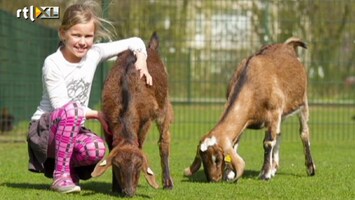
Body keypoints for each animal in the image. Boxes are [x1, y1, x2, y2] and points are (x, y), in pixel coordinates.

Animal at [91, 32, 175, 197]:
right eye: (117, 166)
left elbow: (140, 144)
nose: (129, 192)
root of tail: (151, 46)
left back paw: (168, 183)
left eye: (138, 166)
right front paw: (115, 186)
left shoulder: (146, 120)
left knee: (164, 140)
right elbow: (111, 147)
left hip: (164, 106)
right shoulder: (107, 122)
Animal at [185, 37, 316, 183]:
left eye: (217, 159)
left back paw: (310, 168)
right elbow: (237, 143)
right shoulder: (250, 121)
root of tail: (287, 45)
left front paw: (265, 174)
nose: (213, 179)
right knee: (279, 134)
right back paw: (274, 168)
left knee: (304, 133)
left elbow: (268, 143)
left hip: (302, 103)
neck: (253, 82)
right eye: (203, 159)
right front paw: (230, 174)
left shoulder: (274, 113)